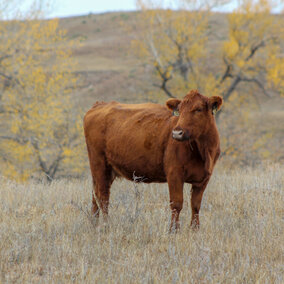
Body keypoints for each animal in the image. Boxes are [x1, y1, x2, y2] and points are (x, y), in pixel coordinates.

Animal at [83, 90, 223, 230]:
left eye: (198, 109)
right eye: (179, 110)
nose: (177, 133)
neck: (203, 151)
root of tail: (100, 105)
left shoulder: (203, 179)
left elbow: (196, 206)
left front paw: (195, 229)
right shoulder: (174, 174)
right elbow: (176, 204)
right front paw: (173, 230)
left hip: (106, 171)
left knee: (95, 195)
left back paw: (94, 224)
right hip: (99, 165)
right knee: (103, 197)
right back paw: (107, 225)